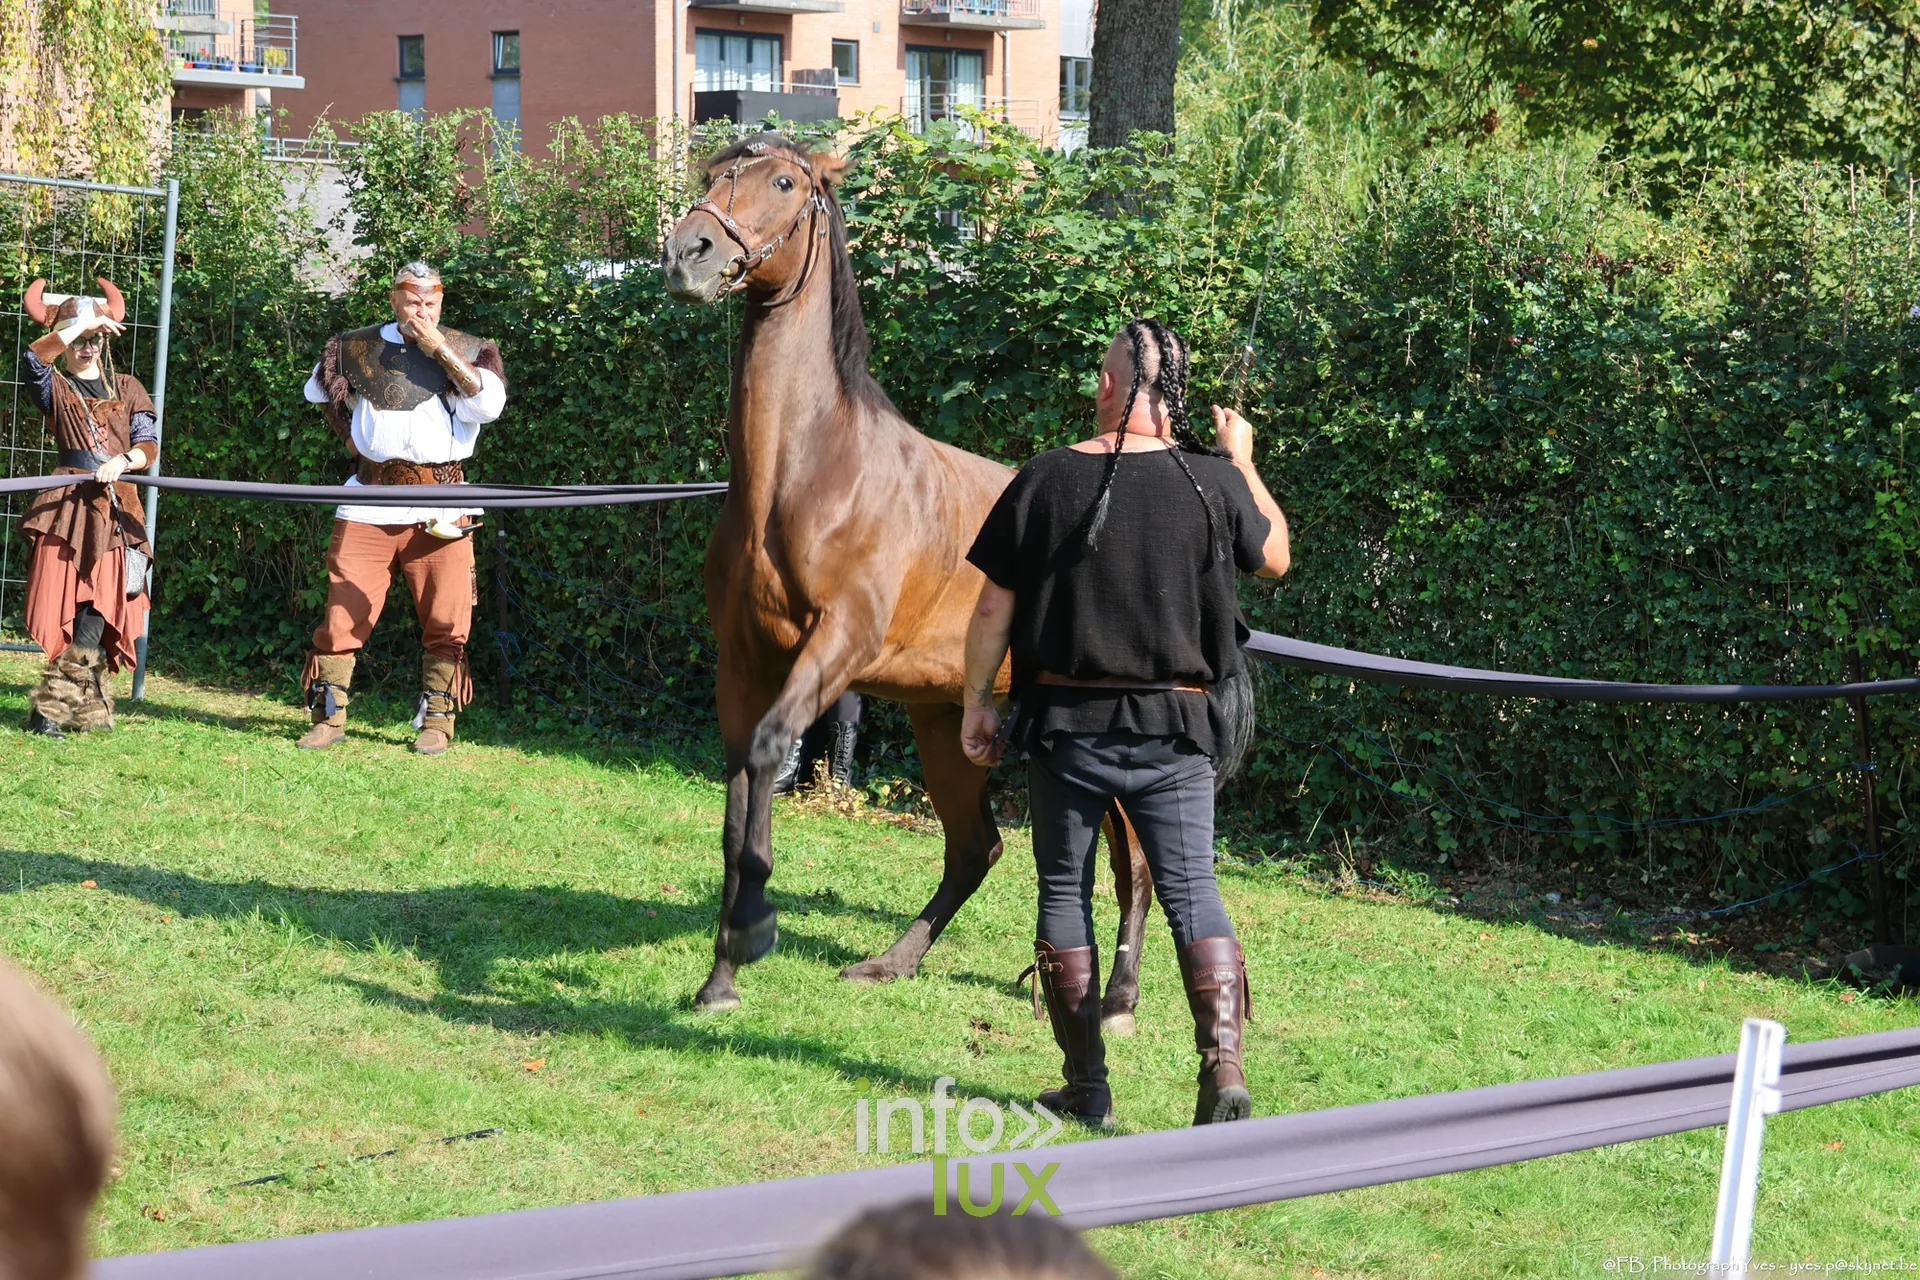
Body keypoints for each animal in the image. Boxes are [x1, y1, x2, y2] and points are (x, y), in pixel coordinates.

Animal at [660, 135, 1243, 1020]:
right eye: (712, 176)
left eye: (785, 182)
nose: (686, 252)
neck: (808, 474)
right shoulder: (744, 661)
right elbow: (736, 803)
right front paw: (720, 978)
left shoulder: (834, 648)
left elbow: (767, 757)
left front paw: (754, 928)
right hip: (948, 725)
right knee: (978, 848)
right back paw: (892, 962)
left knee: (1134, 867)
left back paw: (1118, 998)